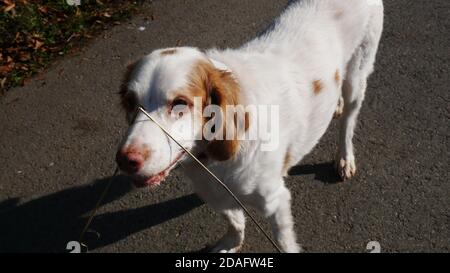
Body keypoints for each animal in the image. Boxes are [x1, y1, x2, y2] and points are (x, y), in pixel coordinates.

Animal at [115, 0, 384, 252]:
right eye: (130, 102)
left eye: (180, 103)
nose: (125, 160)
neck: (210, 159)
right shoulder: (215, 193)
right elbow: (234, 222)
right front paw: (231, 243)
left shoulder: (276, 201)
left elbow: (284, 242)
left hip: (357, 76)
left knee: (348, 123)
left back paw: (344, 158)